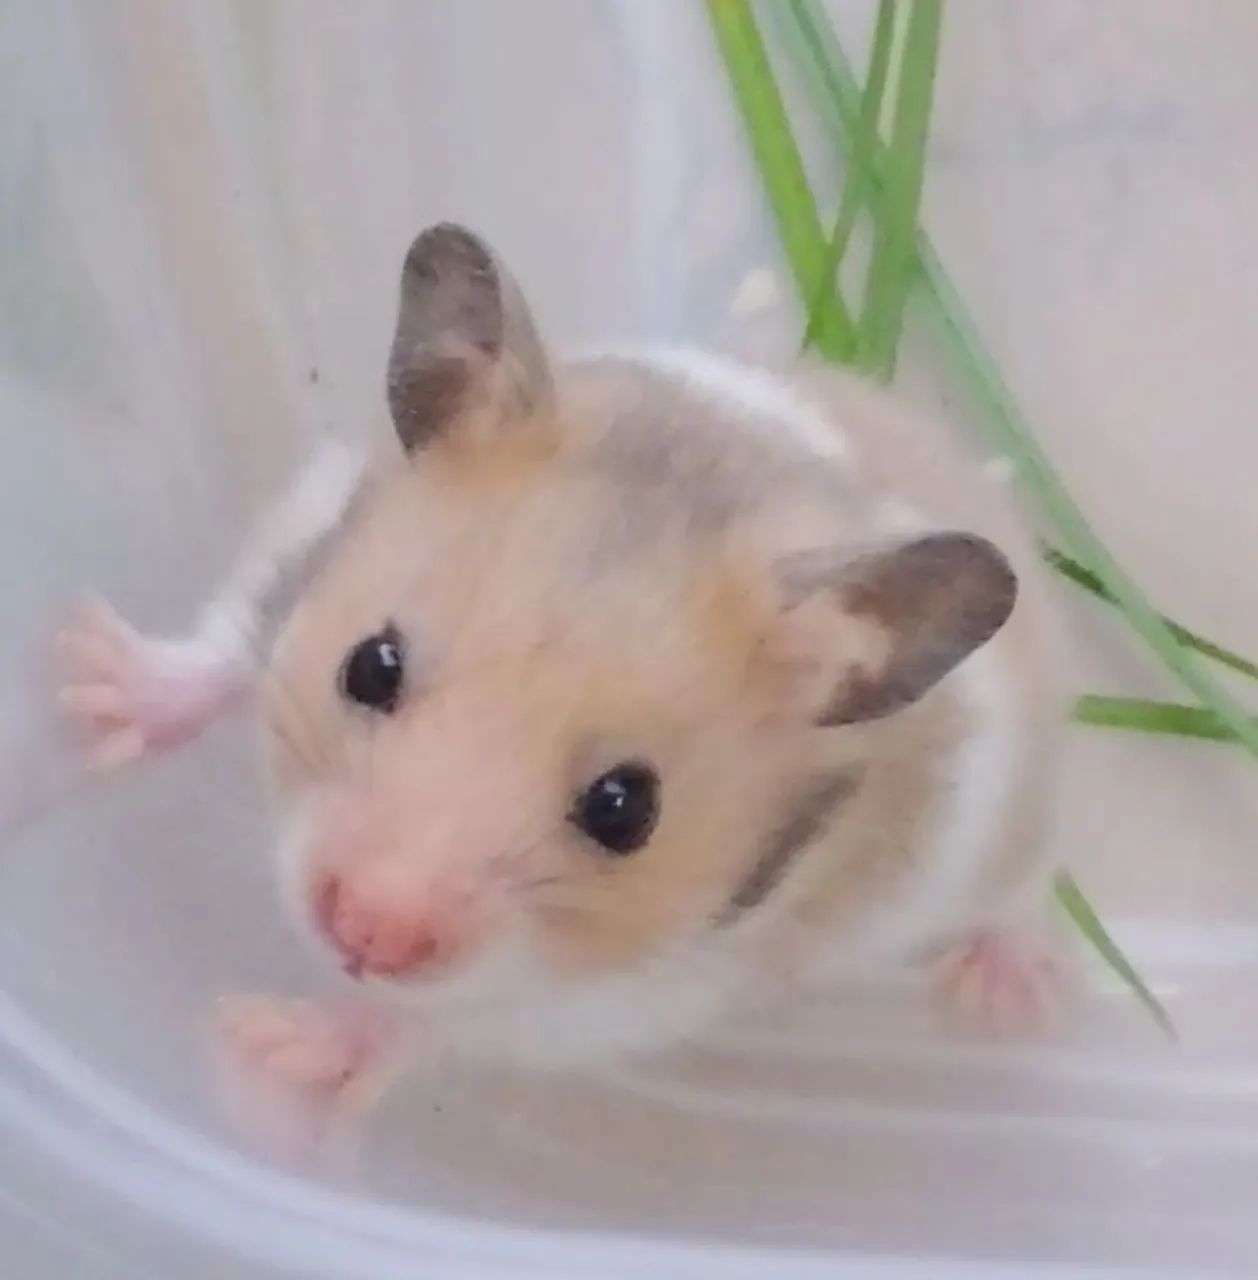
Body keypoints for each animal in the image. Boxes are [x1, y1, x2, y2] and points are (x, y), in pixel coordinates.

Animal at [57, 222, 1068, 1161]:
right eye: (369, 665)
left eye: (625, 808)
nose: (367, 935)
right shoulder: (309, 524)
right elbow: (231, 639)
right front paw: (84, 681)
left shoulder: (634, 991)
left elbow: (441, 1023)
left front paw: (274, 1050)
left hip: (1014, 834)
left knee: (1027, 891)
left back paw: (1007, 997)